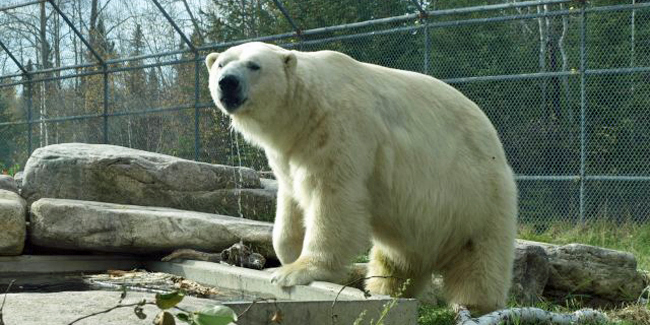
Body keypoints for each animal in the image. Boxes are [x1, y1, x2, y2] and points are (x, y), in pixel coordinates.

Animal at [205, 42, 520, 312]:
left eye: (254, 65)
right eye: (221, 64)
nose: (227, 82)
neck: (305, 111)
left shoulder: (341, 128)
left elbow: (333, 197)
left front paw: (295, 272)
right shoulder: (289, 152)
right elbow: (291, 198)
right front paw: (287, 254)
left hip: (478, 198)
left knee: (479, 262)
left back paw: (474, 307)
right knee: (393, 261)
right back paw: (385, 290)